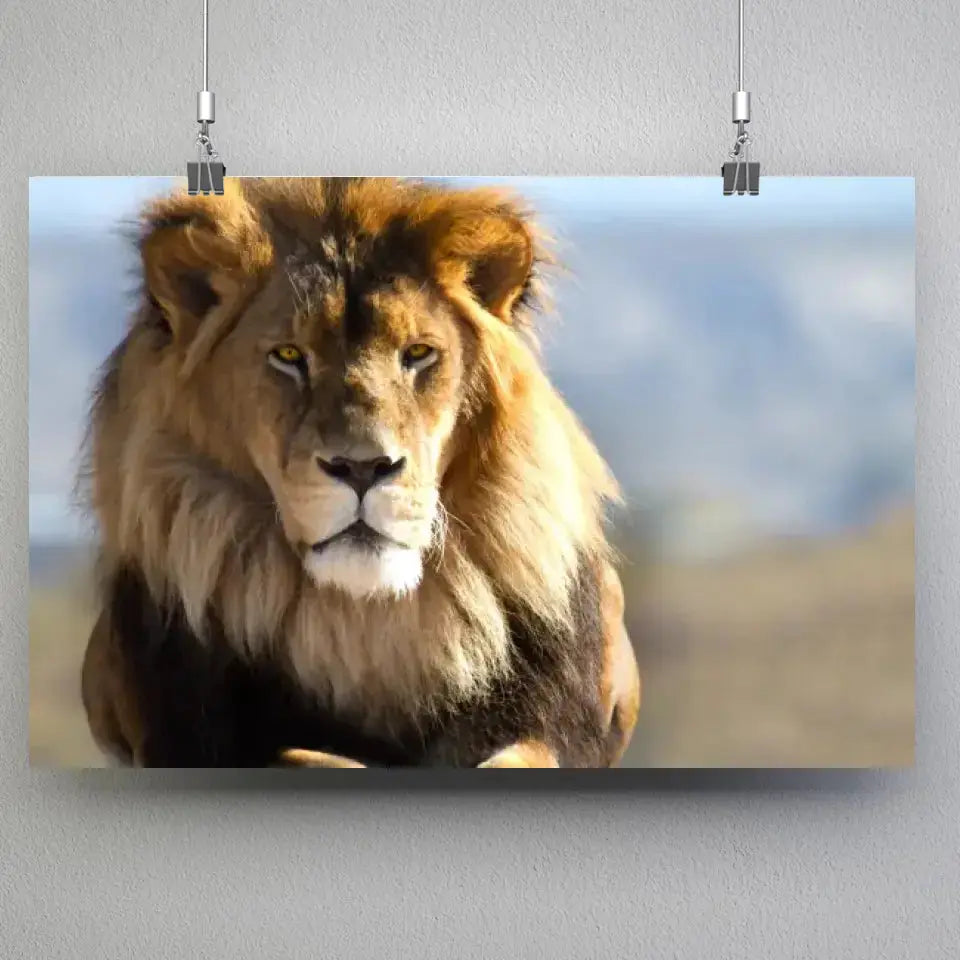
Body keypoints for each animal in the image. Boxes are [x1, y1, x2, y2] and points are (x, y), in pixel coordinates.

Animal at [79, 177, 641, 767]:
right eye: (288, 355)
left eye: (418, 353)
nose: (363, 466)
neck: (365, 623)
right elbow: (296, 755)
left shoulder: (556, 719)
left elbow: (522, 755)